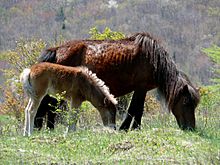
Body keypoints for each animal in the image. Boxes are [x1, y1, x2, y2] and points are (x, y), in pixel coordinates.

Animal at [38, 31, 200, 130]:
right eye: (186, 102)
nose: (190, 128)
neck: (154, 59)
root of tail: (57, 50)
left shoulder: (140, 89)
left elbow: (135, 109)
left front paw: (131, 128)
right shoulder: (141, 88)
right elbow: (136, 109)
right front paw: (129, 128)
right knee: (49, 107)